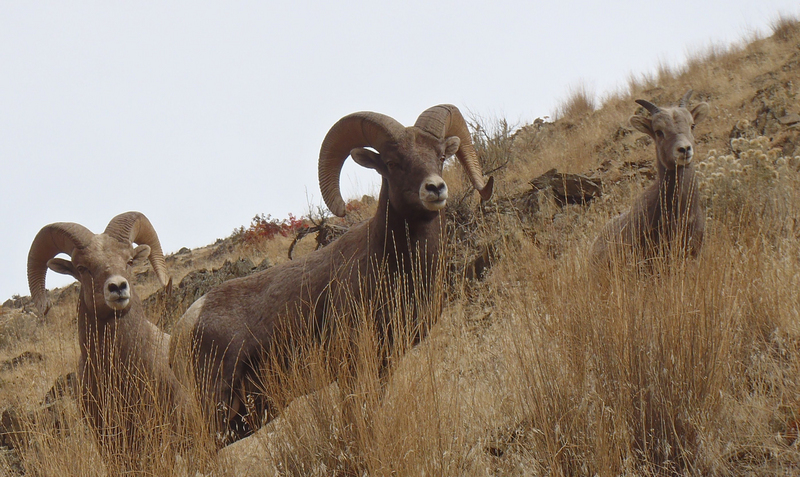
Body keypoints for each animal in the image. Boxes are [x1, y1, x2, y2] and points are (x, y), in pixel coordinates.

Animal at [172, 103, 490, 442]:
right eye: (392, 163)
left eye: (440, 156)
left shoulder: (385, 363)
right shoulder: (350, 366)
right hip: (216, 409)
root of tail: (187, 323)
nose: (435, 189)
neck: (395, 265)